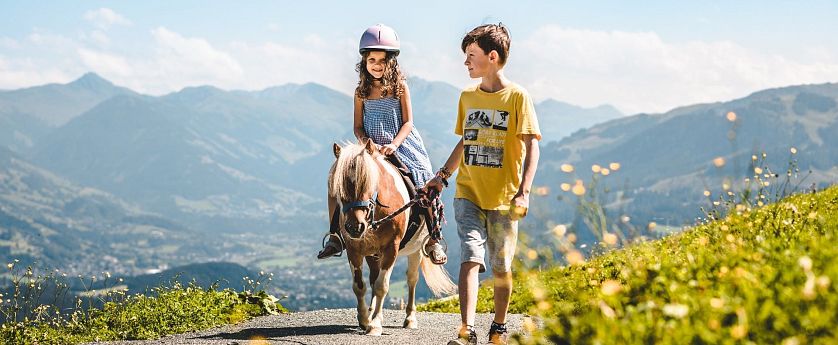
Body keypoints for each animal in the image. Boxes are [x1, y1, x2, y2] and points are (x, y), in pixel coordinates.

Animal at [330, 138, 460, 334]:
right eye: (339, 187)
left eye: (369, 183)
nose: (354, 227)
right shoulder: (354, 250)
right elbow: (359, 286)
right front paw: (364, 319)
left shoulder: (391, 248)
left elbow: (382, 287)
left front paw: (375, 324)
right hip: (373, 254)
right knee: (373, 278)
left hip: (415, 251)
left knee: (411, 279)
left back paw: (410, 319)